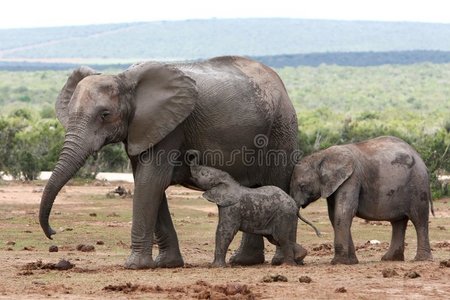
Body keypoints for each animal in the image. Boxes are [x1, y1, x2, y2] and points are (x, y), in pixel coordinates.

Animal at [38, 56, 298, 270]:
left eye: (105, 114)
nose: (53, 233)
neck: (125, 79)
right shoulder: (143, 128)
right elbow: (148, 184)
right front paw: (167, 264)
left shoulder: (170, 127)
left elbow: (150, 182)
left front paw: (134, 266)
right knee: (254, 189)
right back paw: (245, 261)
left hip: (281, 130)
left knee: (274, 183)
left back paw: (279, 261)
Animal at [190, 162, 320, 268]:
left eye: (203, 173)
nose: (192, 154)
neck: (229, 182)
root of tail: (293, 203)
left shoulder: (232, 207)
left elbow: (225, 231)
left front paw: (216, 267)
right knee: (276, 238)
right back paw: (300, 256)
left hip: (283, 213)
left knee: (281, 238)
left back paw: (288, 265)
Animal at [290, 136, 434, 264]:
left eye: (302, 186)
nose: (319, 234)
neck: (321, 156)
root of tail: (422, 161)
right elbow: (334, 215)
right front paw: (351, 262)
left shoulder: (352, 178)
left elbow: (344, 212)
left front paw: (339, 262)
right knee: (398, 222)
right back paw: (390, 259)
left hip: (418, 184)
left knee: (419, 218)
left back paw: (421, 260)